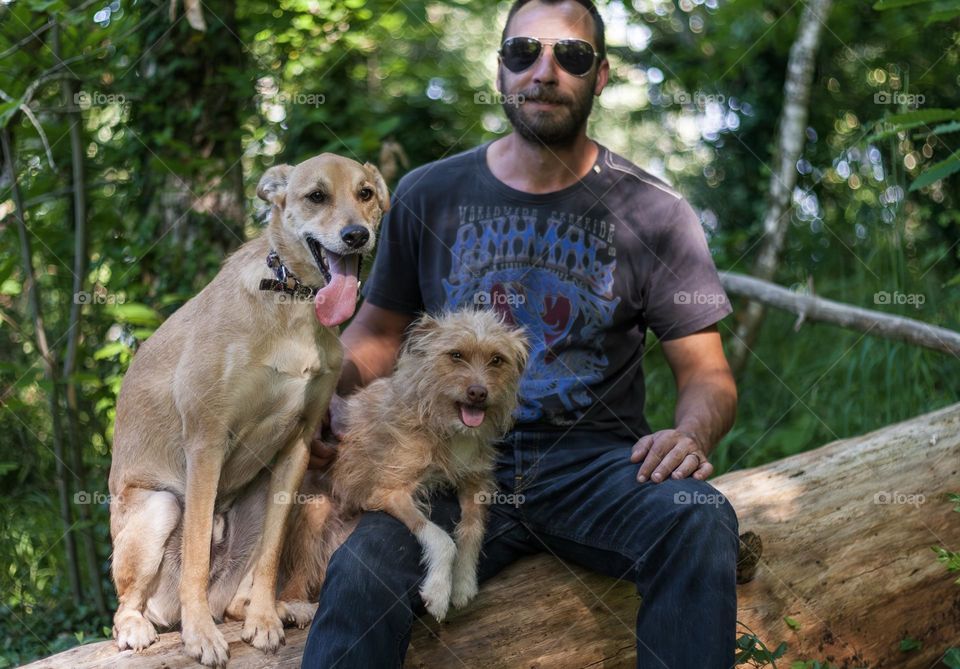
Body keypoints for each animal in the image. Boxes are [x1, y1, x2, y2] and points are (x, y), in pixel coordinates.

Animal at [106, 153, 386, 668]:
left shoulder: (298, 447)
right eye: (316, 196)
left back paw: (274, 608)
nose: (357, 235)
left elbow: (272, 555)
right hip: (158, 506)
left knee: (243, 586)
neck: (292, 303)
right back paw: (141, 626)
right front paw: (200, 635)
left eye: (366, 194)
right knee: (127, 604)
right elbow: (197, 556)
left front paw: (264, 620)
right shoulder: (207, 442)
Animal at [328, 310, 524, 620]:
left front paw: (464, 581)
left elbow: (472, 530)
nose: (478, 393)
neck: (448, 428)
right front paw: (439, 591)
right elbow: (441, 537)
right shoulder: (389, 491)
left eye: (497, 360)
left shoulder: (477, 483)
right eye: (456, 355)